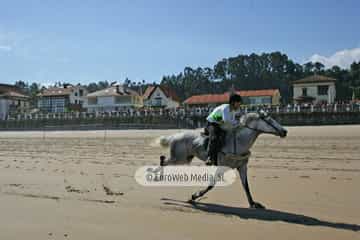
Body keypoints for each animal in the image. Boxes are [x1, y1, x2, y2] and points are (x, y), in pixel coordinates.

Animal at [158, 111, 286, 209]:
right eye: (269, 120)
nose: (285, 131)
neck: (238, 142)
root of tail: (174, 136)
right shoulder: (221, 167)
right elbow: (211, 185)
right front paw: (194, 196)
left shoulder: (242, 167)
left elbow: (246, 186)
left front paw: (253, 203)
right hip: (178, 158)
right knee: (163, 161)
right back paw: (158, 178)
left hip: (184, 159)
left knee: (164, 160)